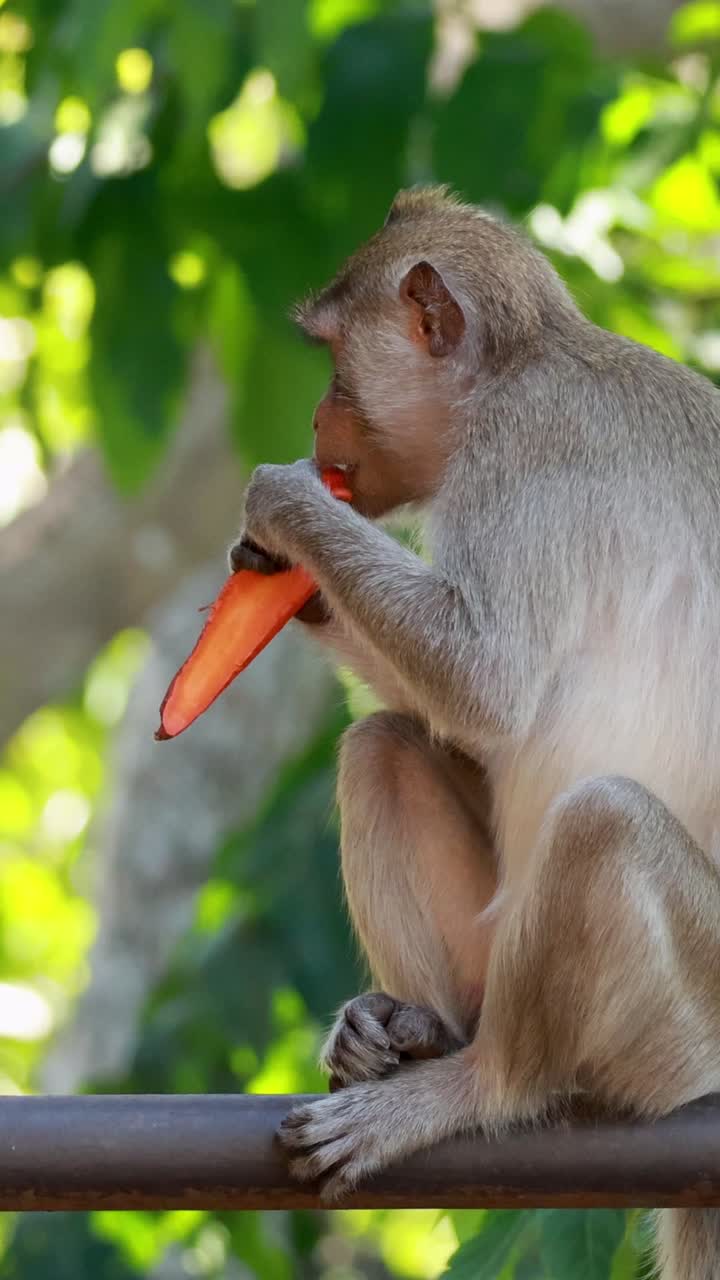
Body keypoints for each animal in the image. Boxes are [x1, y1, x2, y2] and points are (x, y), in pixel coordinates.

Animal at [229, 187, 720, 1280]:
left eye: (334, 357)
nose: (316, 419)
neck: (522, 363)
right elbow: (462, 721)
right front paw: (286, 576)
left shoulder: (515, 466)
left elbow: (487, 684)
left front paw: (282, 505)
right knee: (381, 745)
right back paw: (419, 1028)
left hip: (694, 1016)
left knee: (602, 821)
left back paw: (475, 1085)